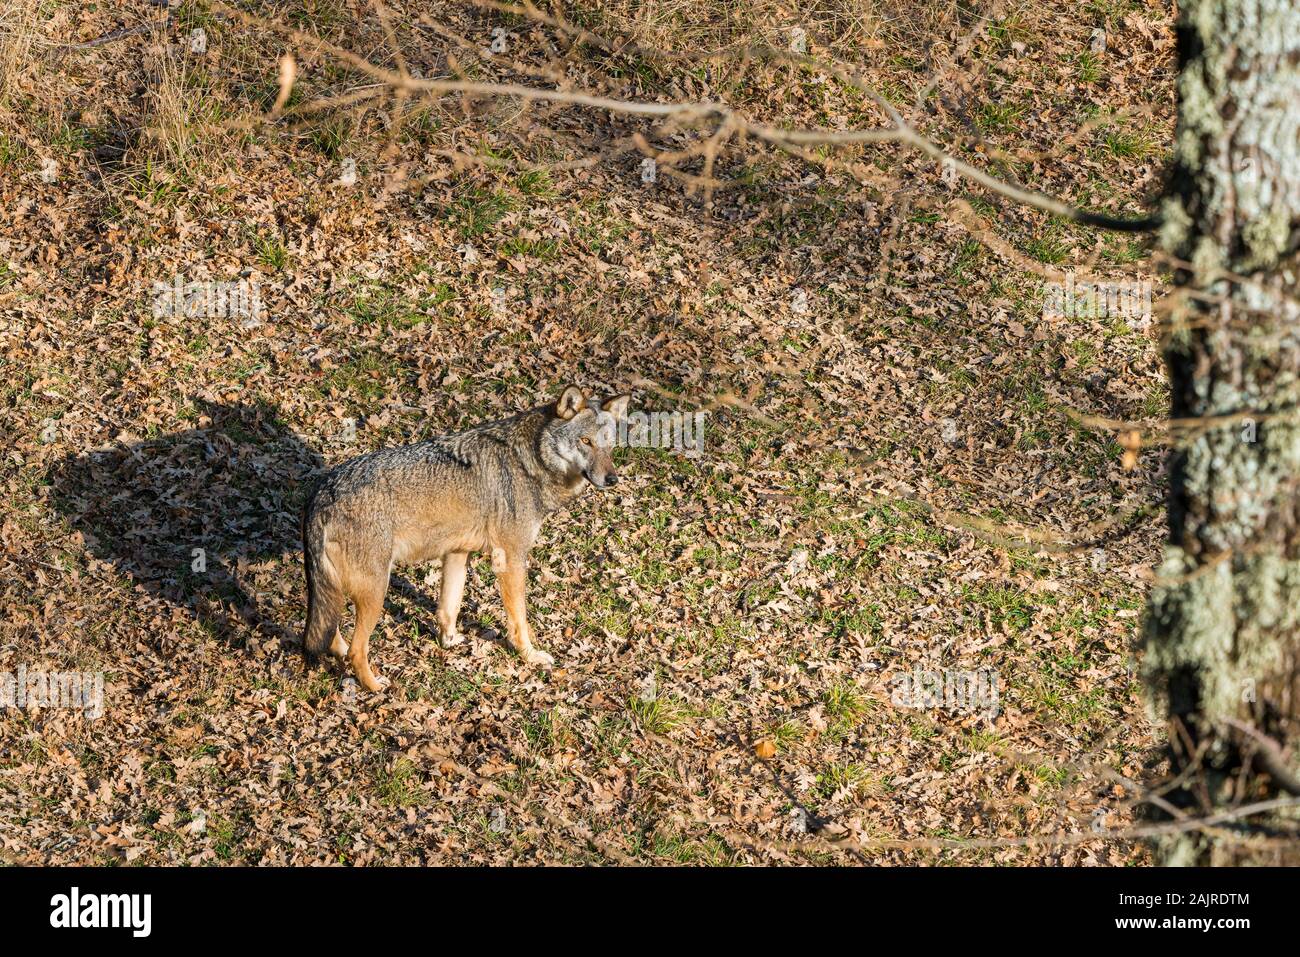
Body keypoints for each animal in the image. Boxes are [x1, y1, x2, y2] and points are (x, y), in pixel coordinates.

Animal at [301, 386, 630, 691]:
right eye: (585, 442)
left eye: (609, 445)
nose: (612, 479)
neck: (529, 461)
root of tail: (322, 494)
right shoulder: (510, 558)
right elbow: (519, 619)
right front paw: (529, 655)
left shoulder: (457, 554)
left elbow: (450, 605)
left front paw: (448, 641)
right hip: (375, 591)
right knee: (356, 650)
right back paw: (375, 686)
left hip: (341, 592)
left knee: (331, 636)